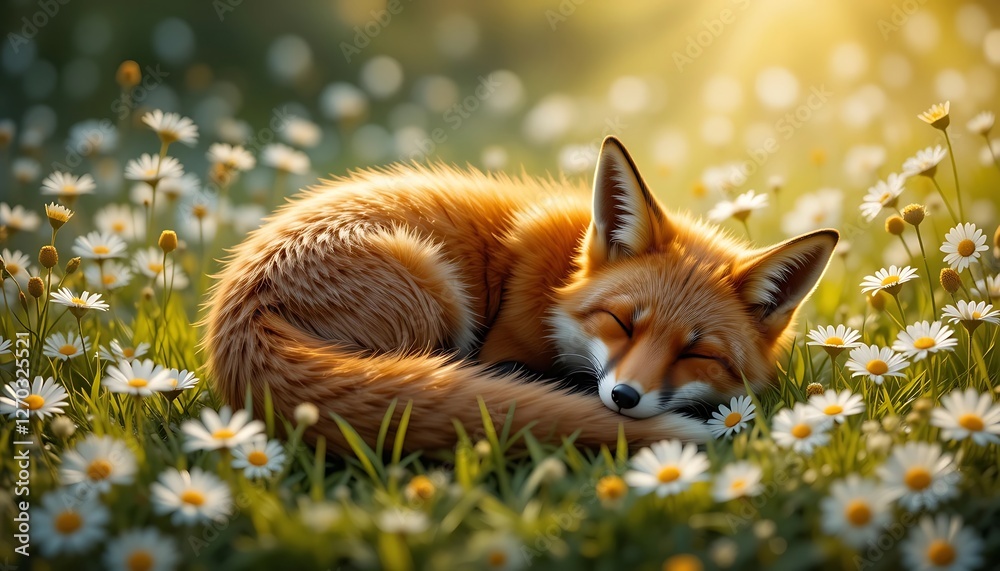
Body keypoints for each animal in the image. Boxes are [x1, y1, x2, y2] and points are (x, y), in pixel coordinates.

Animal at [204, 137, 838, 453]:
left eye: (696, 352)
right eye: (622, 324)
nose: (625, 398)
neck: (559, 278)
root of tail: (241, 308)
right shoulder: (500, 348)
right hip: (436, 292)